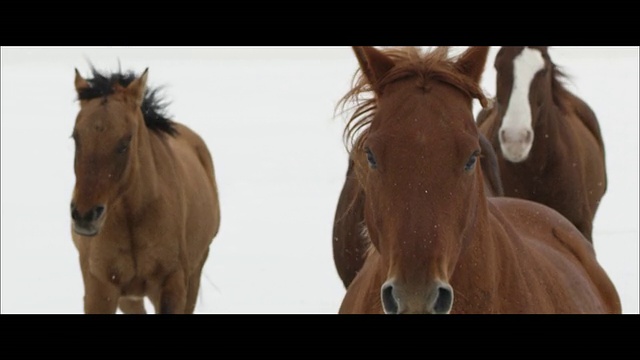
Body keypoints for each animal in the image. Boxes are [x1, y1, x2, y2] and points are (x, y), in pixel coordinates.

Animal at [71, 67, 221, 312]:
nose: (85, 216)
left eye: (126, 141)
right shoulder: (100, 288)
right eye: (76, 136)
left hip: (195, 271)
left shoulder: (172, 285)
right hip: (130, 297)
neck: (132, 218)